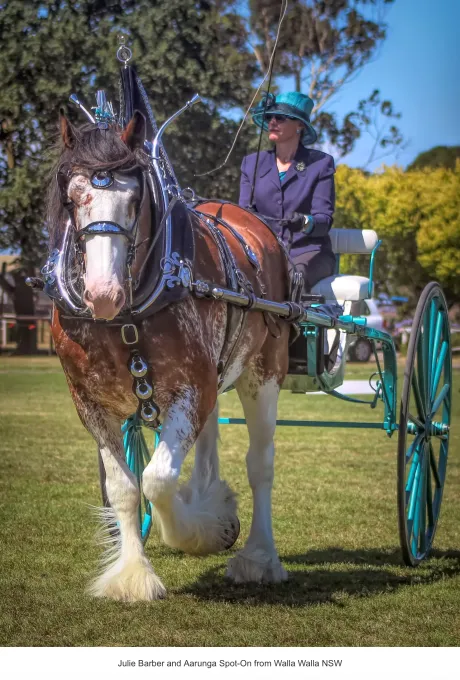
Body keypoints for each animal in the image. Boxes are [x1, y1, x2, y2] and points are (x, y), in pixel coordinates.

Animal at [48, 110, 291, 601]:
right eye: (72, 197)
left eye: (134, 197)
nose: (103, 294)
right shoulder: (89, 403)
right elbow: (124, 487)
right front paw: (132, 574)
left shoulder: (191, 389)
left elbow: (157, 480)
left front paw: (203, 532)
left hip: (265, 373)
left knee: (260, 464)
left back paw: (259, 557)